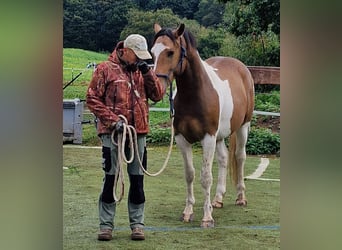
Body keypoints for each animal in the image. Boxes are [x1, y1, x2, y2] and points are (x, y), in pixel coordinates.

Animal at [152, 23, 254, 229]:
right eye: (152, 52)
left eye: (170, 52)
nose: (157, 86)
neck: (195, 94)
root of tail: (242, 68)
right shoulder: (182, 139)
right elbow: (190, 174)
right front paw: (188, 212)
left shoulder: (208, 138)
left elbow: (205, 177)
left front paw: (207, 218)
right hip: (220, 136)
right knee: (223, 159)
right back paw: (218, 199)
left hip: (242, 127)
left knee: (240, 157)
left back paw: (240, 197)